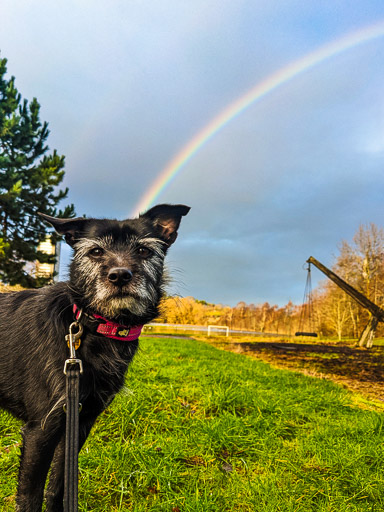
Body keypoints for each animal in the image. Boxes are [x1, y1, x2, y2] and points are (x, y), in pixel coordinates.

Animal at [0, 204, 190, 512]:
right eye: (96, 251)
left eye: (144, 250)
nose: (120, 275)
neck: (92, 325)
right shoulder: (40, 429)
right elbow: (30, 496)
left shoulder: (80, 422)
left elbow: (59, 486)